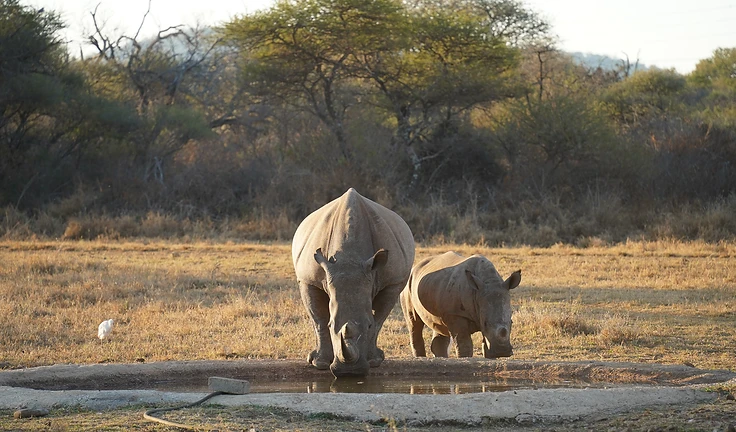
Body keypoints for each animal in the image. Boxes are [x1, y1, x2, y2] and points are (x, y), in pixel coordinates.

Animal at [292, 188, 415, 377]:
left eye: (368, 325)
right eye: (331, 325)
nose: (350, 372)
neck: (349, 257)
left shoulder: (392, 282)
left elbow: (379, 319)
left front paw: (374, 361)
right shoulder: (308, 280)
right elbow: (319, 319)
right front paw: (319, 363)